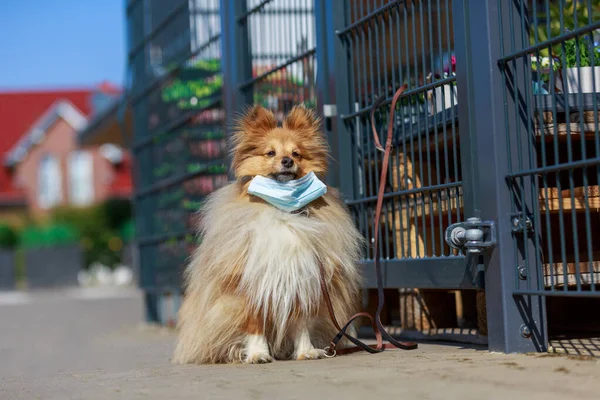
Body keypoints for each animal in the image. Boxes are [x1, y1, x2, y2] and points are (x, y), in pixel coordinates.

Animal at [171, 104, 364, 364]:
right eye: (270, 153)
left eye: (296, 154)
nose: (287, 161)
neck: (283, 210)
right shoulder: (251, 284)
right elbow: (254, 324)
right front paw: (257, 353)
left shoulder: (302, 279)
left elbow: (302, 323)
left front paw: (305, 351)